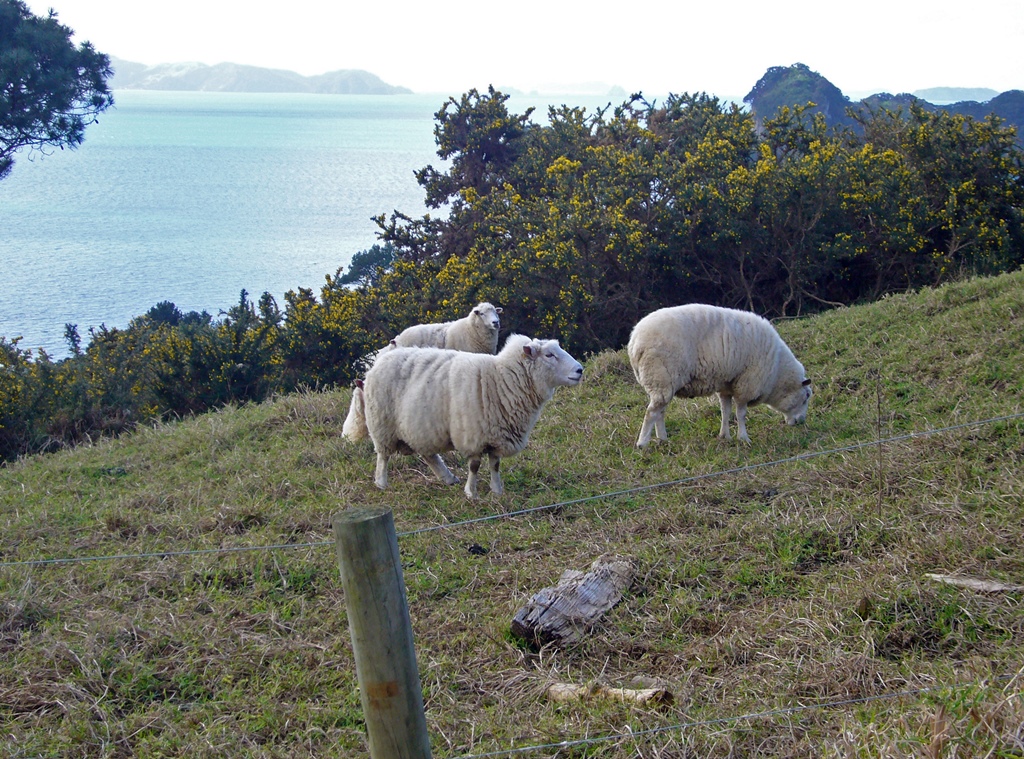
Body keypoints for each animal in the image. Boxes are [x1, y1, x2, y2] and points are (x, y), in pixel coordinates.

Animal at [344, 333, 585, 497]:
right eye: (549, 355)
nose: (580, 370)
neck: (500, 379)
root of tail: (373, 367)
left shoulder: (496, 434)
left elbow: (495, 464)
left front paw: (497, 490)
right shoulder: (473, 435)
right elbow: (475, 466)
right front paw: (472, 493)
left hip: (419, 427)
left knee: (428, 454)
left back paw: (447, 478)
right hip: (382, 424)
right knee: (383, 456)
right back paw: (381, 483)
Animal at [626, 301, 811, 444]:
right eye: (806, 397)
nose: (801, 422)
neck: (777, 373)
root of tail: (635, 341)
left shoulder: (727, 385)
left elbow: (725, 411)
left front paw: (725, 436)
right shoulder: (746, 384)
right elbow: (741, 413)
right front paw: (744, 438)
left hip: (663, 382)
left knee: (660, 411)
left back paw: (663, 439)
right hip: (661, 377)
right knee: (652, 412)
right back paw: (643, 443)